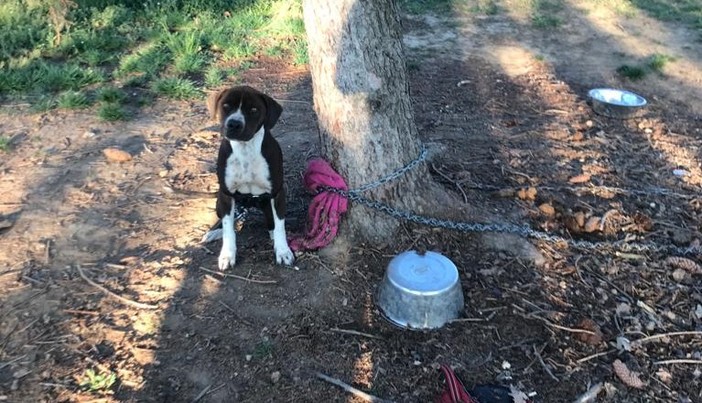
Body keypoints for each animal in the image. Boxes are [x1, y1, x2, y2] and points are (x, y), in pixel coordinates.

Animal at [204, 87, 294, 272]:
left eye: (253, 110)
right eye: (225, 106)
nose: (234, 123)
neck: (245, 149)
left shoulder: (277, 193)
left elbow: (280, 224)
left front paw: (283, 251)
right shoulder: (226, 195)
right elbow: (228, 229)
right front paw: (227, 255)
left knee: (271, 219)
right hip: (220, 201)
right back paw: (214, 231)